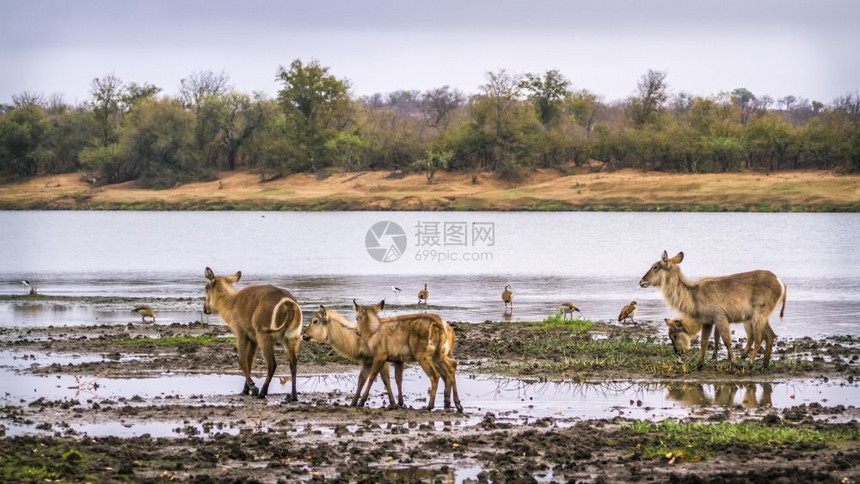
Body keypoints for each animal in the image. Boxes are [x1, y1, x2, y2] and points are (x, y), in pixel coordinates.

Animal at [204, 266, 304, 398]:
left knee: (272, 364)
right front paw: (245, 390)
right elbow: (249, 361)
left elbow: (242, 360)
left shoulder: (241, 335)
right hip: (292, 338)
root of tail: (288, 303)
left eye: (206, 287)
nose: (205, 308)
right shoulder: (253, 340)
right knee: (293, 363)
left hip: (264, 336)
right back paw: (293, 396)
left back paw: (262, 392)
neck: (232, 303)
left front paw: (252, 388)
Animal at [640, 251, 788, 368]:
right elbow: (704, 342)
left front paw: (735, 363)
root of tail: (780, 283)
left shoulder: (720, 317)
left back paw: (749, 364)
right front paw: (699, 365)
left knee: (759, 338)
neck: (694, 295)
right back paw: (764, 365)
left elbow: (726, 340)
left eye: (655, 266)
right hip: (760, 316)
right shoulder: (707, 321)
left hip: (758, 315)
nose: (641, 282)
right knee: (770, 336)